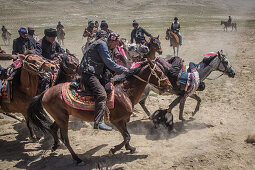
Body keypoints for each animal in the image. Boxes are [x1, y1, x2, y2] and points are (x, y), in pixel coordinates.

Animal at [26, 59, 170, 164]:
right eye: (159, 72)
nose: (168, 85)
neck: (124, 92)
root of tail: (45, 93)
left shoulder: (123, 120)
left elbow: (127, 136)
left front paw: (130, 148)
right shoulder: (116, 121)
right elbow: (126, 136)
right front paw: (113, 150)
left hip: (61, 117)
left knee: (52, 128)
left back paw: (55, 146)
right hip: (62, 119)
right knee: (65, 139)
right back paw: (77, 159)